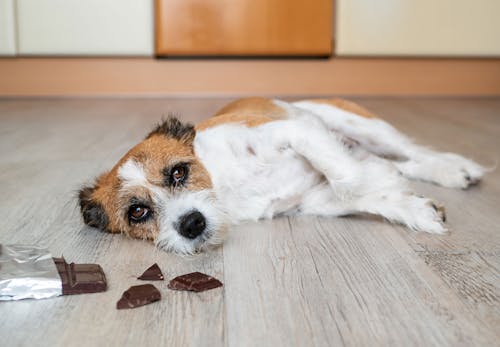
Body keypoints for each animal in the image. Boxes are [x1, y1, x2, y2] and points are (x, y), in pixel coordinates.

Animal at [78, 99, 484, 254]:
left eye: (179, 172)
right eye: (137, 212)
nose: (191, 224)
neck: (224, 185)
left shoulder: (295, 131)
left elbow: (347, 177)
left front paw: (378, 182)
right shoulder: (315, 200)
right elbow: (359, 194)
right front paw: (414, 209)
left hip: (361, 126)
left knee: (413, 152)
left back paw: (457, 168)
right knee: (403, 162)